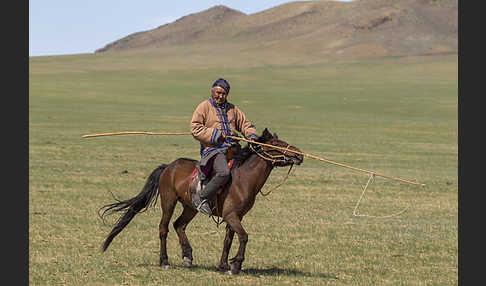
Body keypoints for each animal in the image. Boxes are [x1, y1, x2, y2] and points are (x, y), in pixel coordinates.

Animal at [98, 128, 304, 274]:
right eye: (276, 144)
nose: (299, 154)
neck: (243, 178)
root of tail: (168, 167)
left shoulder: (236, 216)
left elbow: (229, 239)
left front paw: (224, 265)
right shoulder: (231, 215)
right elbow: (244, 236)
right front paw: (236, 265)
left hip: (191, 207)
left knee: (179, 225)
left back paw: (187, 256)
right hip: (169, 201)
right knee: (164, 228)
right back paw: (164, 261)